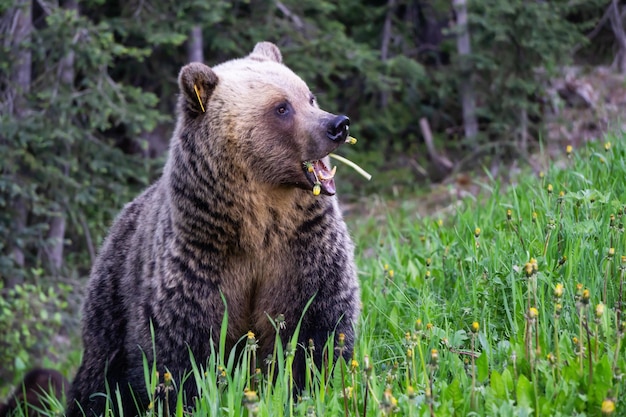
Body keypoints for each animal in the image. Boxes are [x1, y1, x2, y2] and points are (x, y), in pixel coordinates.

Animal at [66, 40, 358, 414]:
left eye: (309, 96)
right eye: (281, 107)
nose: (337, 125)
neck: (259, 222)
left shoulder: (303, 249)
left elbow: (316, 330)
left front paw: (307, 388)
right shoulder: (198, 262)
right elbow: (181, 354)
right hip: (112, 299)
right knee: (100, 376)